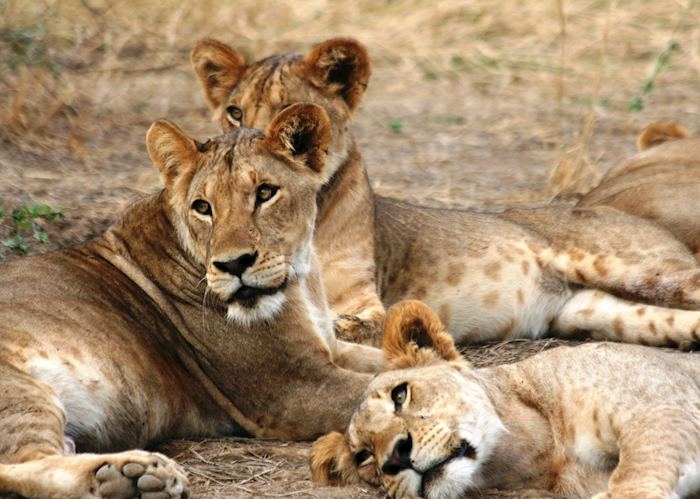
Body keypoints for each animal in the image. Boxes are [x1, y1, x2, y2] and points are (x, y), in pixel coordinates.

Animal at [0, 103, 384, 498]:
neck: (300, 280)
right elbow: (380, 385)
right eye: (202, 207)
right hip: (20, 390)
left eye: (265, 193)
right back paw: (132, 474)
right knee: (20, 464)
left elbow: (391, 358)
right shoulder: (294, 388)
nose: (234, 264)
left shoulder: (332, 348)